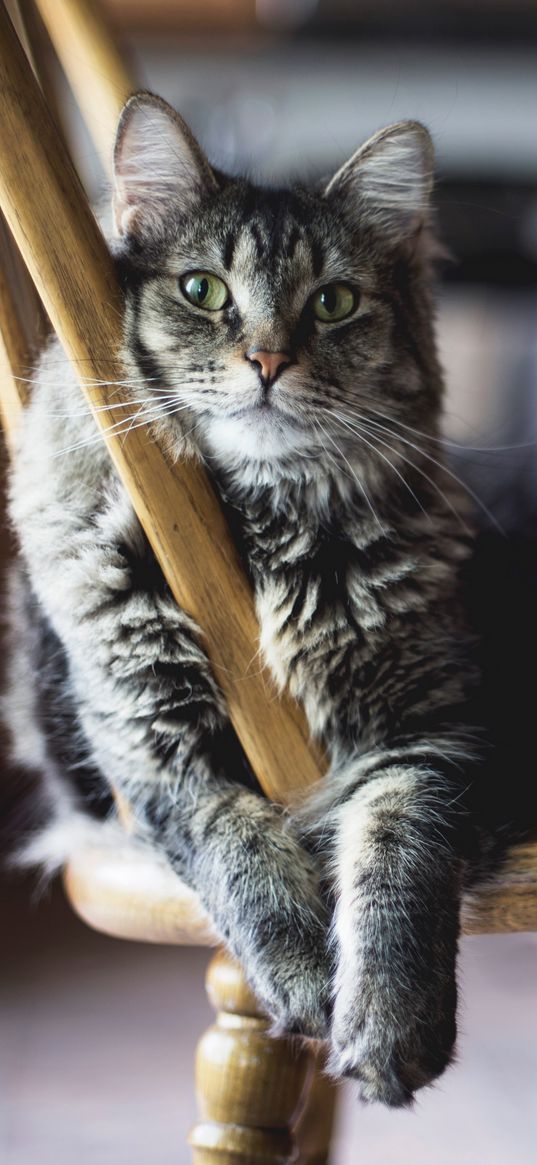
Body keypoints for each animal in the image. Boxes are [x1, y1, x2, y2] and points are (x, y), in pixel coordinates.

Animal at [2, 95, 507, 1104]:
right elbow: (238, 855)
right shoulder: (157, 752)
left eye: (334, 302)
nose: (268, 360)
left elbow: (398, 857)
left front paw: (387, 1021)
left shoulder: (435, 731)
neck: (263, 528)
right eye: (203, 290)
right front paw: (309, 986)